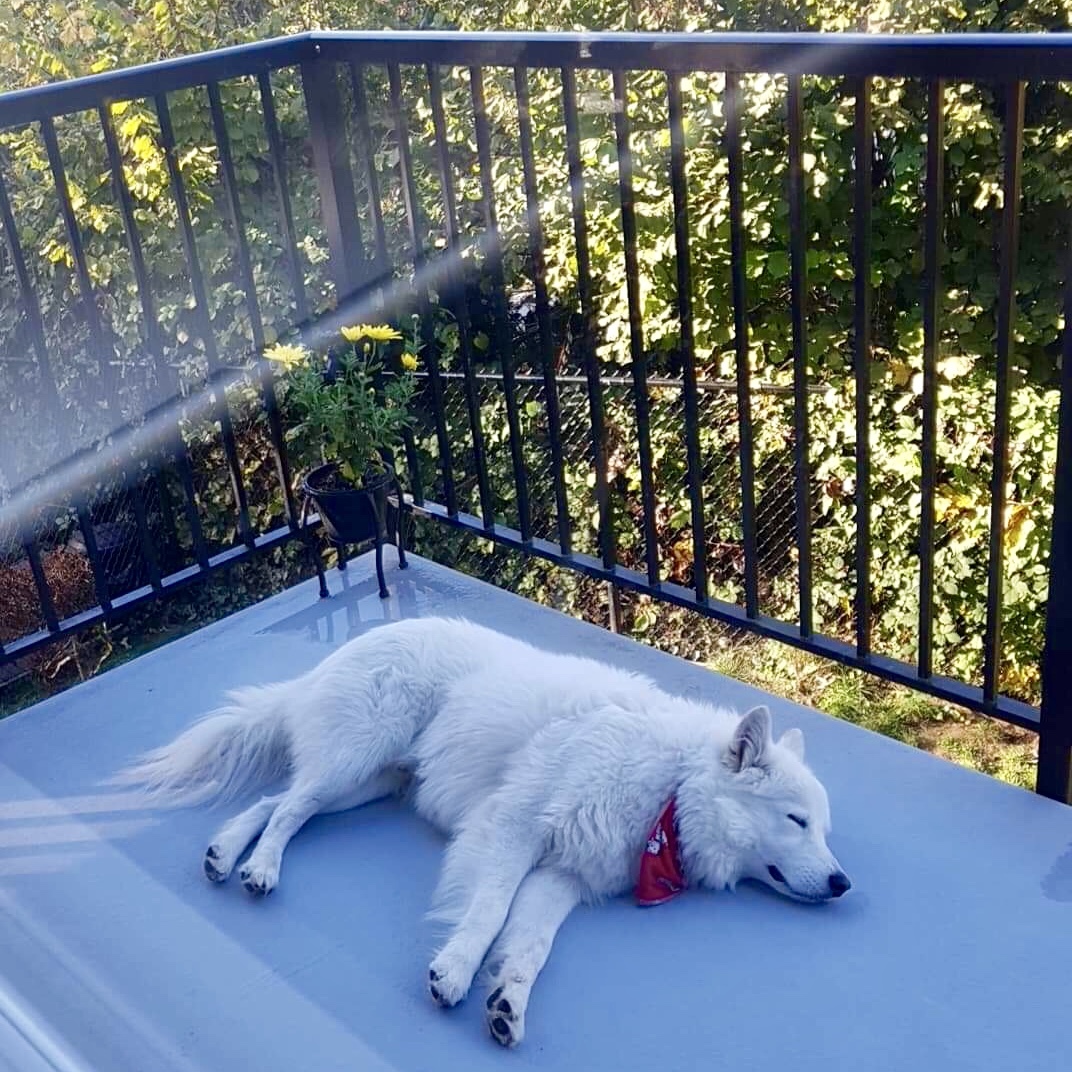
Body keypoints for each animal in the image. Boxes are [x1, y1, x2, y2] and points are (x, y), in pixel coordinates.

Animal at [117, 621, 849, 1046]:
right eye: (796, 821)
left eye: (823, 829)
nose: (843, 883)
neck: (667, 785)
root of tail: (332, 660)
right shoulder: (513, 828)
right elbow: (490, 912)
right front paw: (457, 971)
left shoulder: (561, 876)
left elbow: (530, 947)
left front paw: (507, 1003)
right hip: (354, 761)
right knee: (289, 809)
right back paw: (260, 867)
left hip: (365, 783)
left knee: (277, 800)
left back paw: (224, 852)